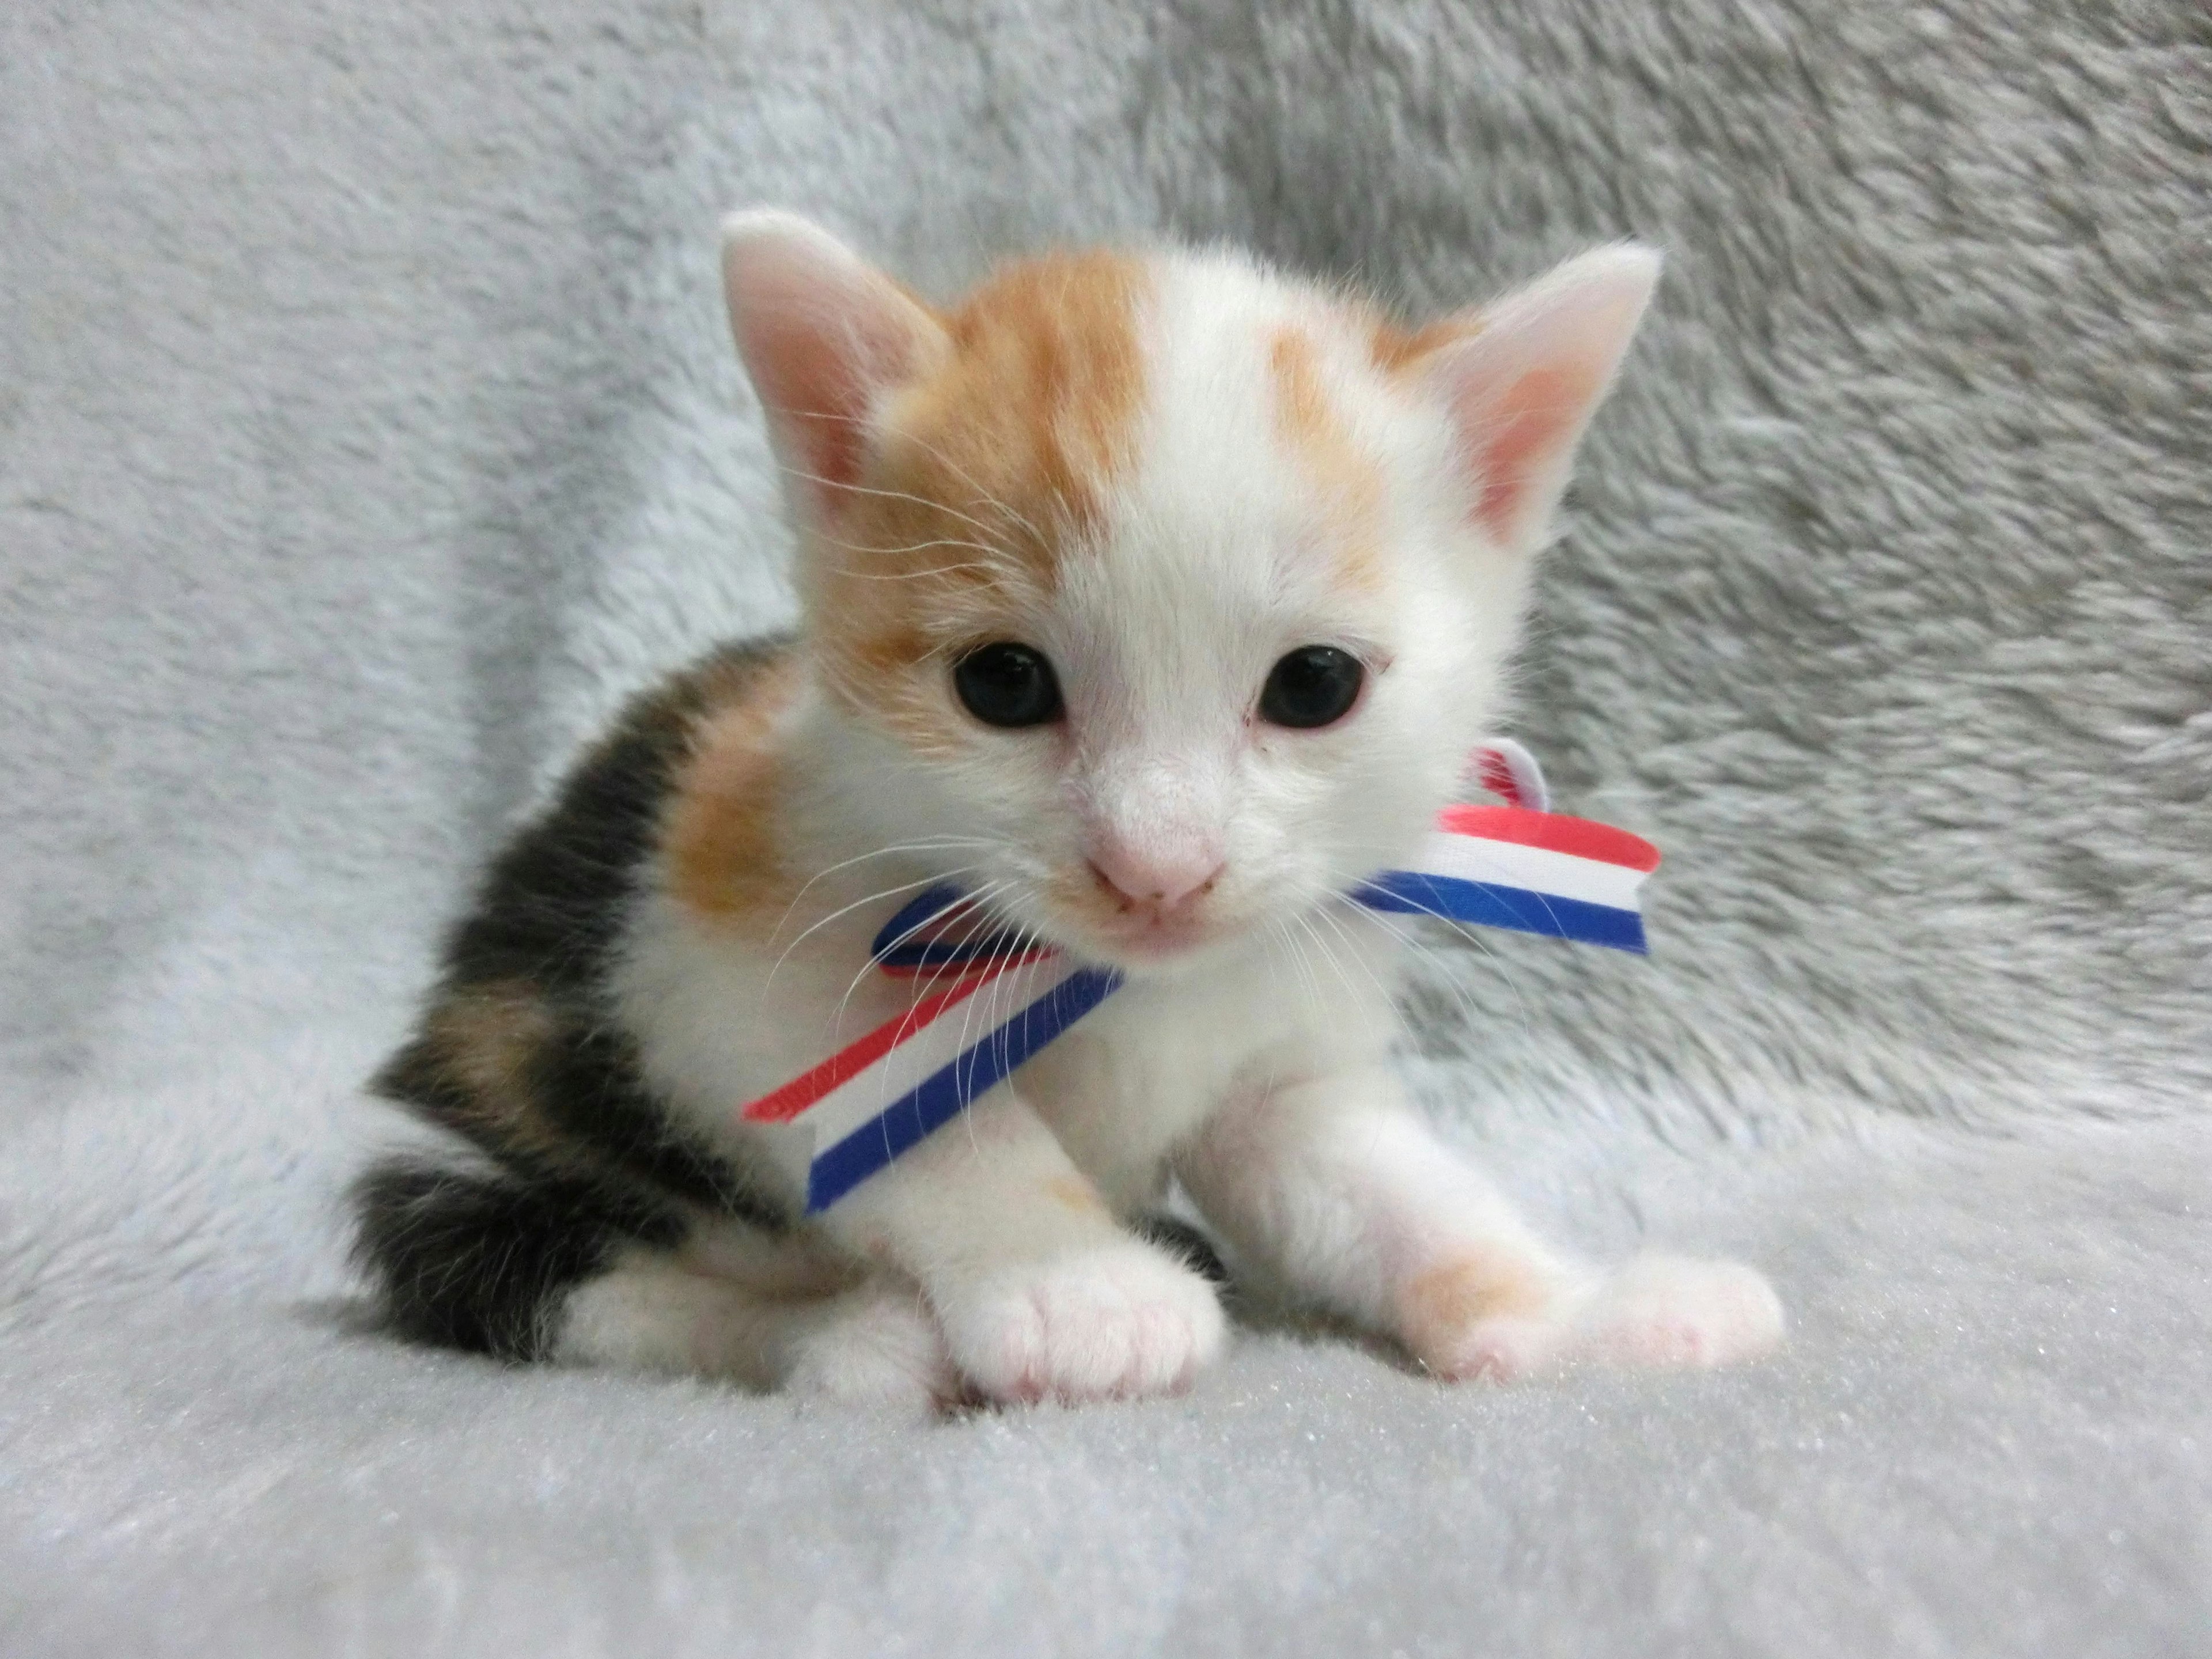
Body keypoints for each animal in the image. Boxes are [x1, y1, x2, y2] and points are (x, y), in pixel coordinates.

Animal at [354, 204, 1787, 1407]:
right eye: (1002, 683)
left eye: (1314, 685)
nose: (1159, 868)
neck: (1117, 985)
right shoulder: (718, 954)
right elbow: (919, 1119)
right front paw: (1075, 1289)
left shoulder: (1284, 1043)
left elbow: (1387, 1191)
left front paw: (1576, 1310)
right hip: (480, 1122)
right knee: (554, 1276)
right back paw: (855, 1338)